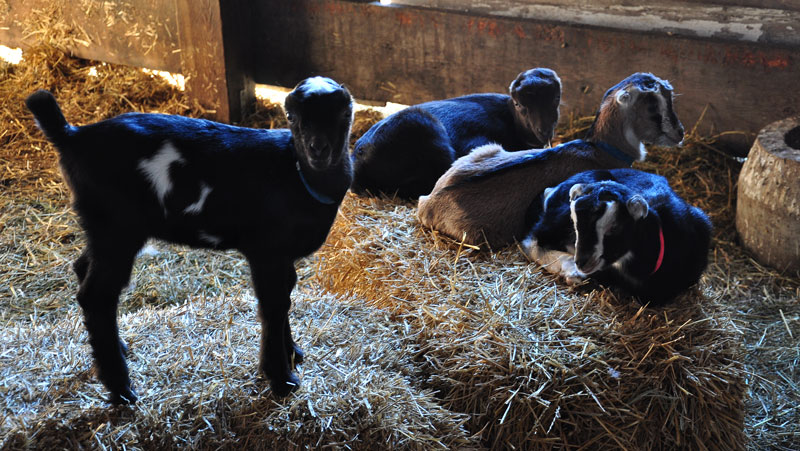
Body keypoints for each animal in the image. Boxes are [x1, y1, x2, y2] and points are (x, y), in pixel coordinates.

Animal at [25, 76, 354, 403]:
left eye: (343, 114)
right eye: (292, 117)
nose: (318, 149)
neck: (297, 175)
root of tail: (73, 135)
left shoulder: (282, 254)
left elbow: (285, 297)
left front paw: (293, 353)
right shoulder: (266, 250)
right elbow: (273, 305)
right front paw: (281, 378)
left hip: (103, 228)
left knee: (83, 269)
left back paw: (118, 352)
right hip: (117, 227)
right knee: (97, 295)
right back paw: (121, 390)